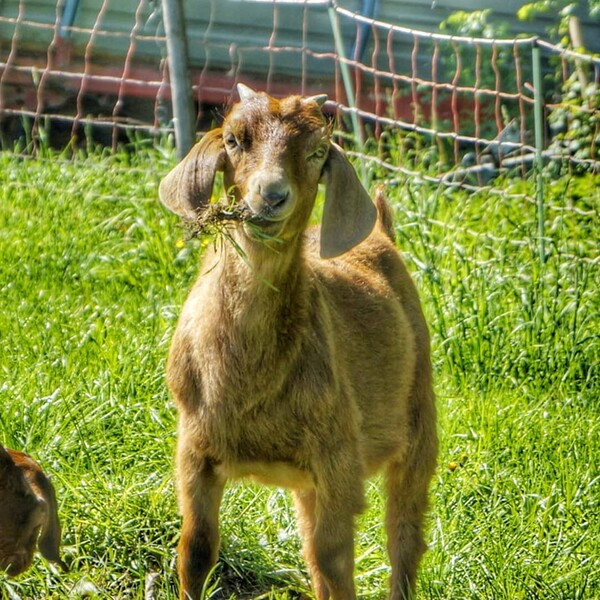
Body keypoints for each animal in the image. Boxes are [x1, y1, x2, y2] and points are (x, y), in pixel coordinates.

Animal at [159, 85, 438, 600]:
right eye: (233, 139)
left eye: (316, 152)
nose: (270, 195)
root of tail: (381, 232)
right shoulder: (195, 450)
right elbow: (197, 549)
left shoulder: (338, 465)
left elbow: (336, 563)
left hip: (418, 424)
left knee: (403, 539)